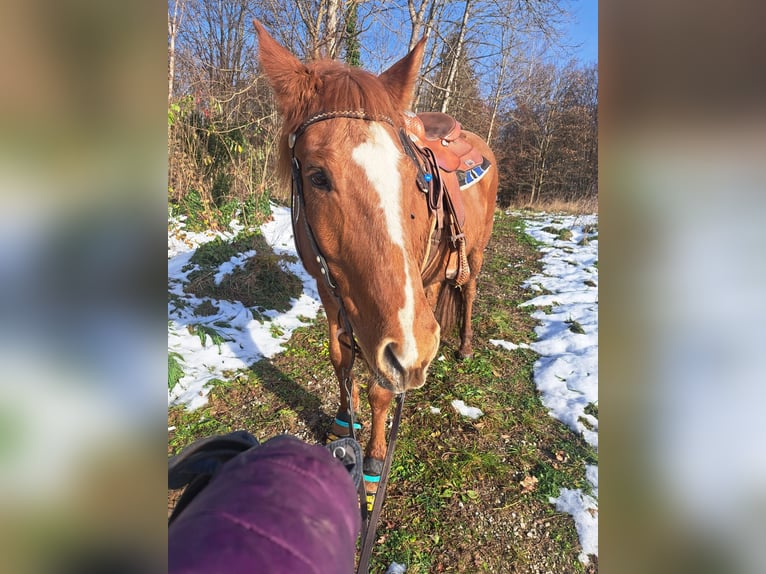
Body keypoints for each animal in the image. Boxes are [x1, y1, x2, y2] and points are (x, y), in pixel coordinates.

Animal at [255, 22, 500, 500]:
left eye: (418, 178)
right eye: (317, 176)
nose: (417, 351)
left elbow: (380, 386)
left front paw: (371, 459)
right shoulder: (329, 289)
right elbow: (340, 358)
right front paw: (339, 421)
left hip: (473, 254)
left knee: (468, 292)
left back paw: (461, 346)